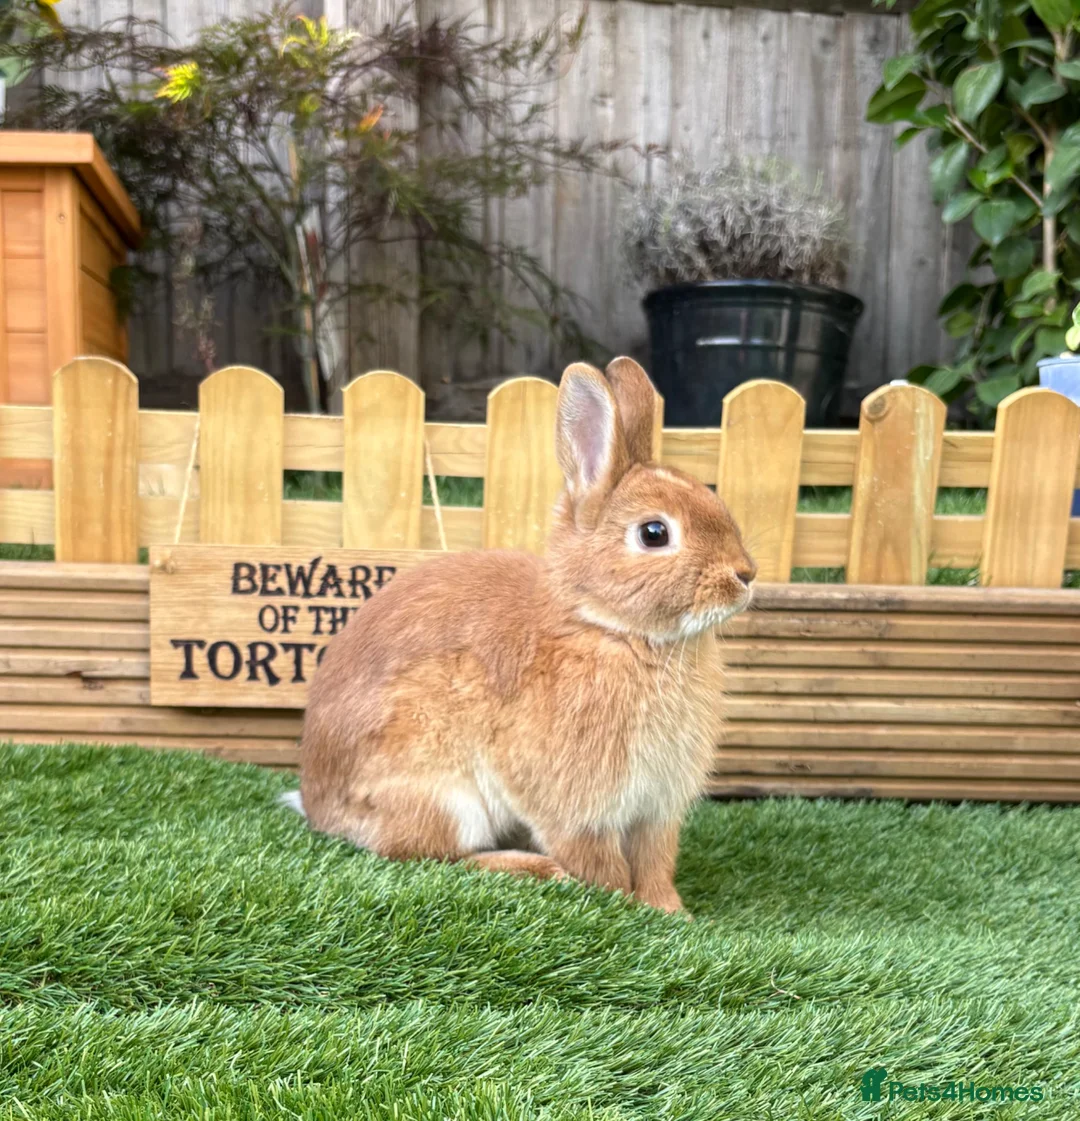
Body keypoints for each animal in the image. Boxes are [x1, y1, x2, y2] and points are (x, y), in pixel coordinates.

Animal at [291, 357, 756, 914]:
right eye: (654, 533)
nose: (746, 575)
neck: (609, 628)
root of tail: (318, 806)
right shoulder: (576, 809)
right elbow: (600, 862)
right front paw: (620, 904)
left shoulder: (656, 811)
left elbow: (654, 862)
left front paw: (670, 912)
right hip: (441, 791)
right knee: (432, 855)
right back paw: (534, 868)